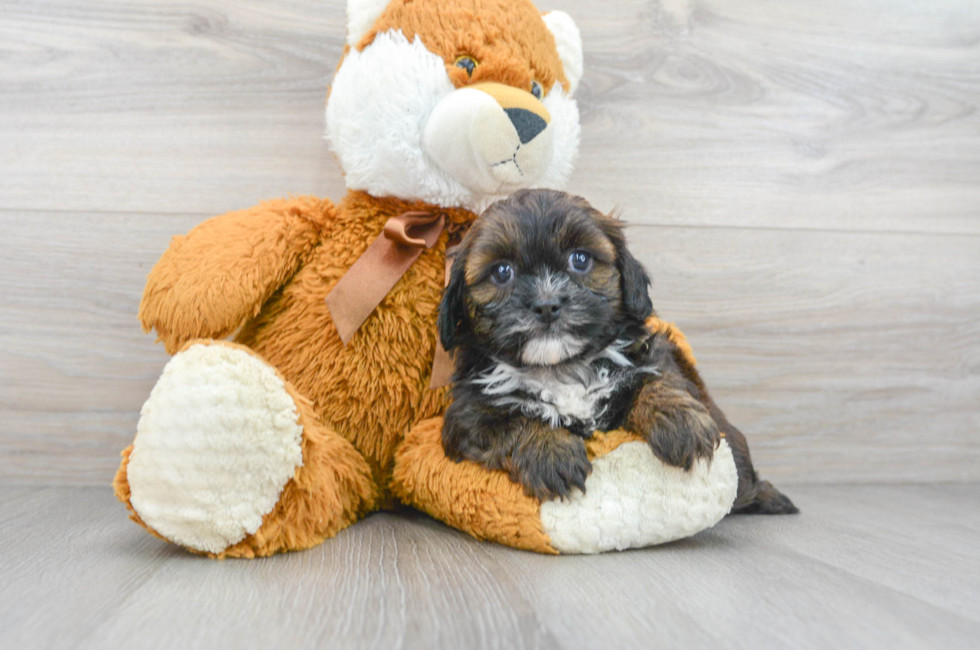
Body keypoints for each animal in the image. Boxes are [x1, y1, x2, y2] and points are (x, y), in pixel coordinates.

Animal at [436, 186, 796, 512]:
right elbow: (512, 422)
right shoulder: (469, 415)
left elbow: (660, 380)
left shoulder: (651, 351)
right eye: (501, 272)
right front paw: (549, 453)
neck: (561, 368)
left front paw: (680, 422)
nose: (546, 304)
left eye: (580, 259)